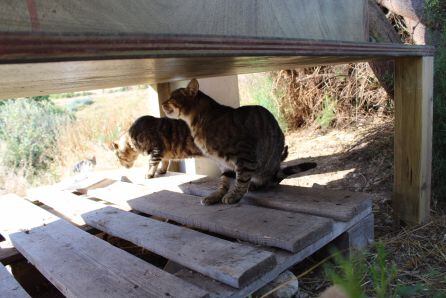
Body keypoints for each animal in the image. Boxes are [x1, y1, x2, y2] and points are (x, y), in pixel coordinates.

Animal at [162, 79, 316, 205]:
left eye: (172, 97)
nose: (163, 102)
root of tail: (276, 171)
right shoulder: (224, 164)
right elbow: (223, 182)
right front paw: (215, 196)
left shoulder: (244, 155)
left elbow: (241, 180)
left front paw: (234, 196)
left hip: (265, 165)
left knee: (265, 181)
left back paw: (256, 184)